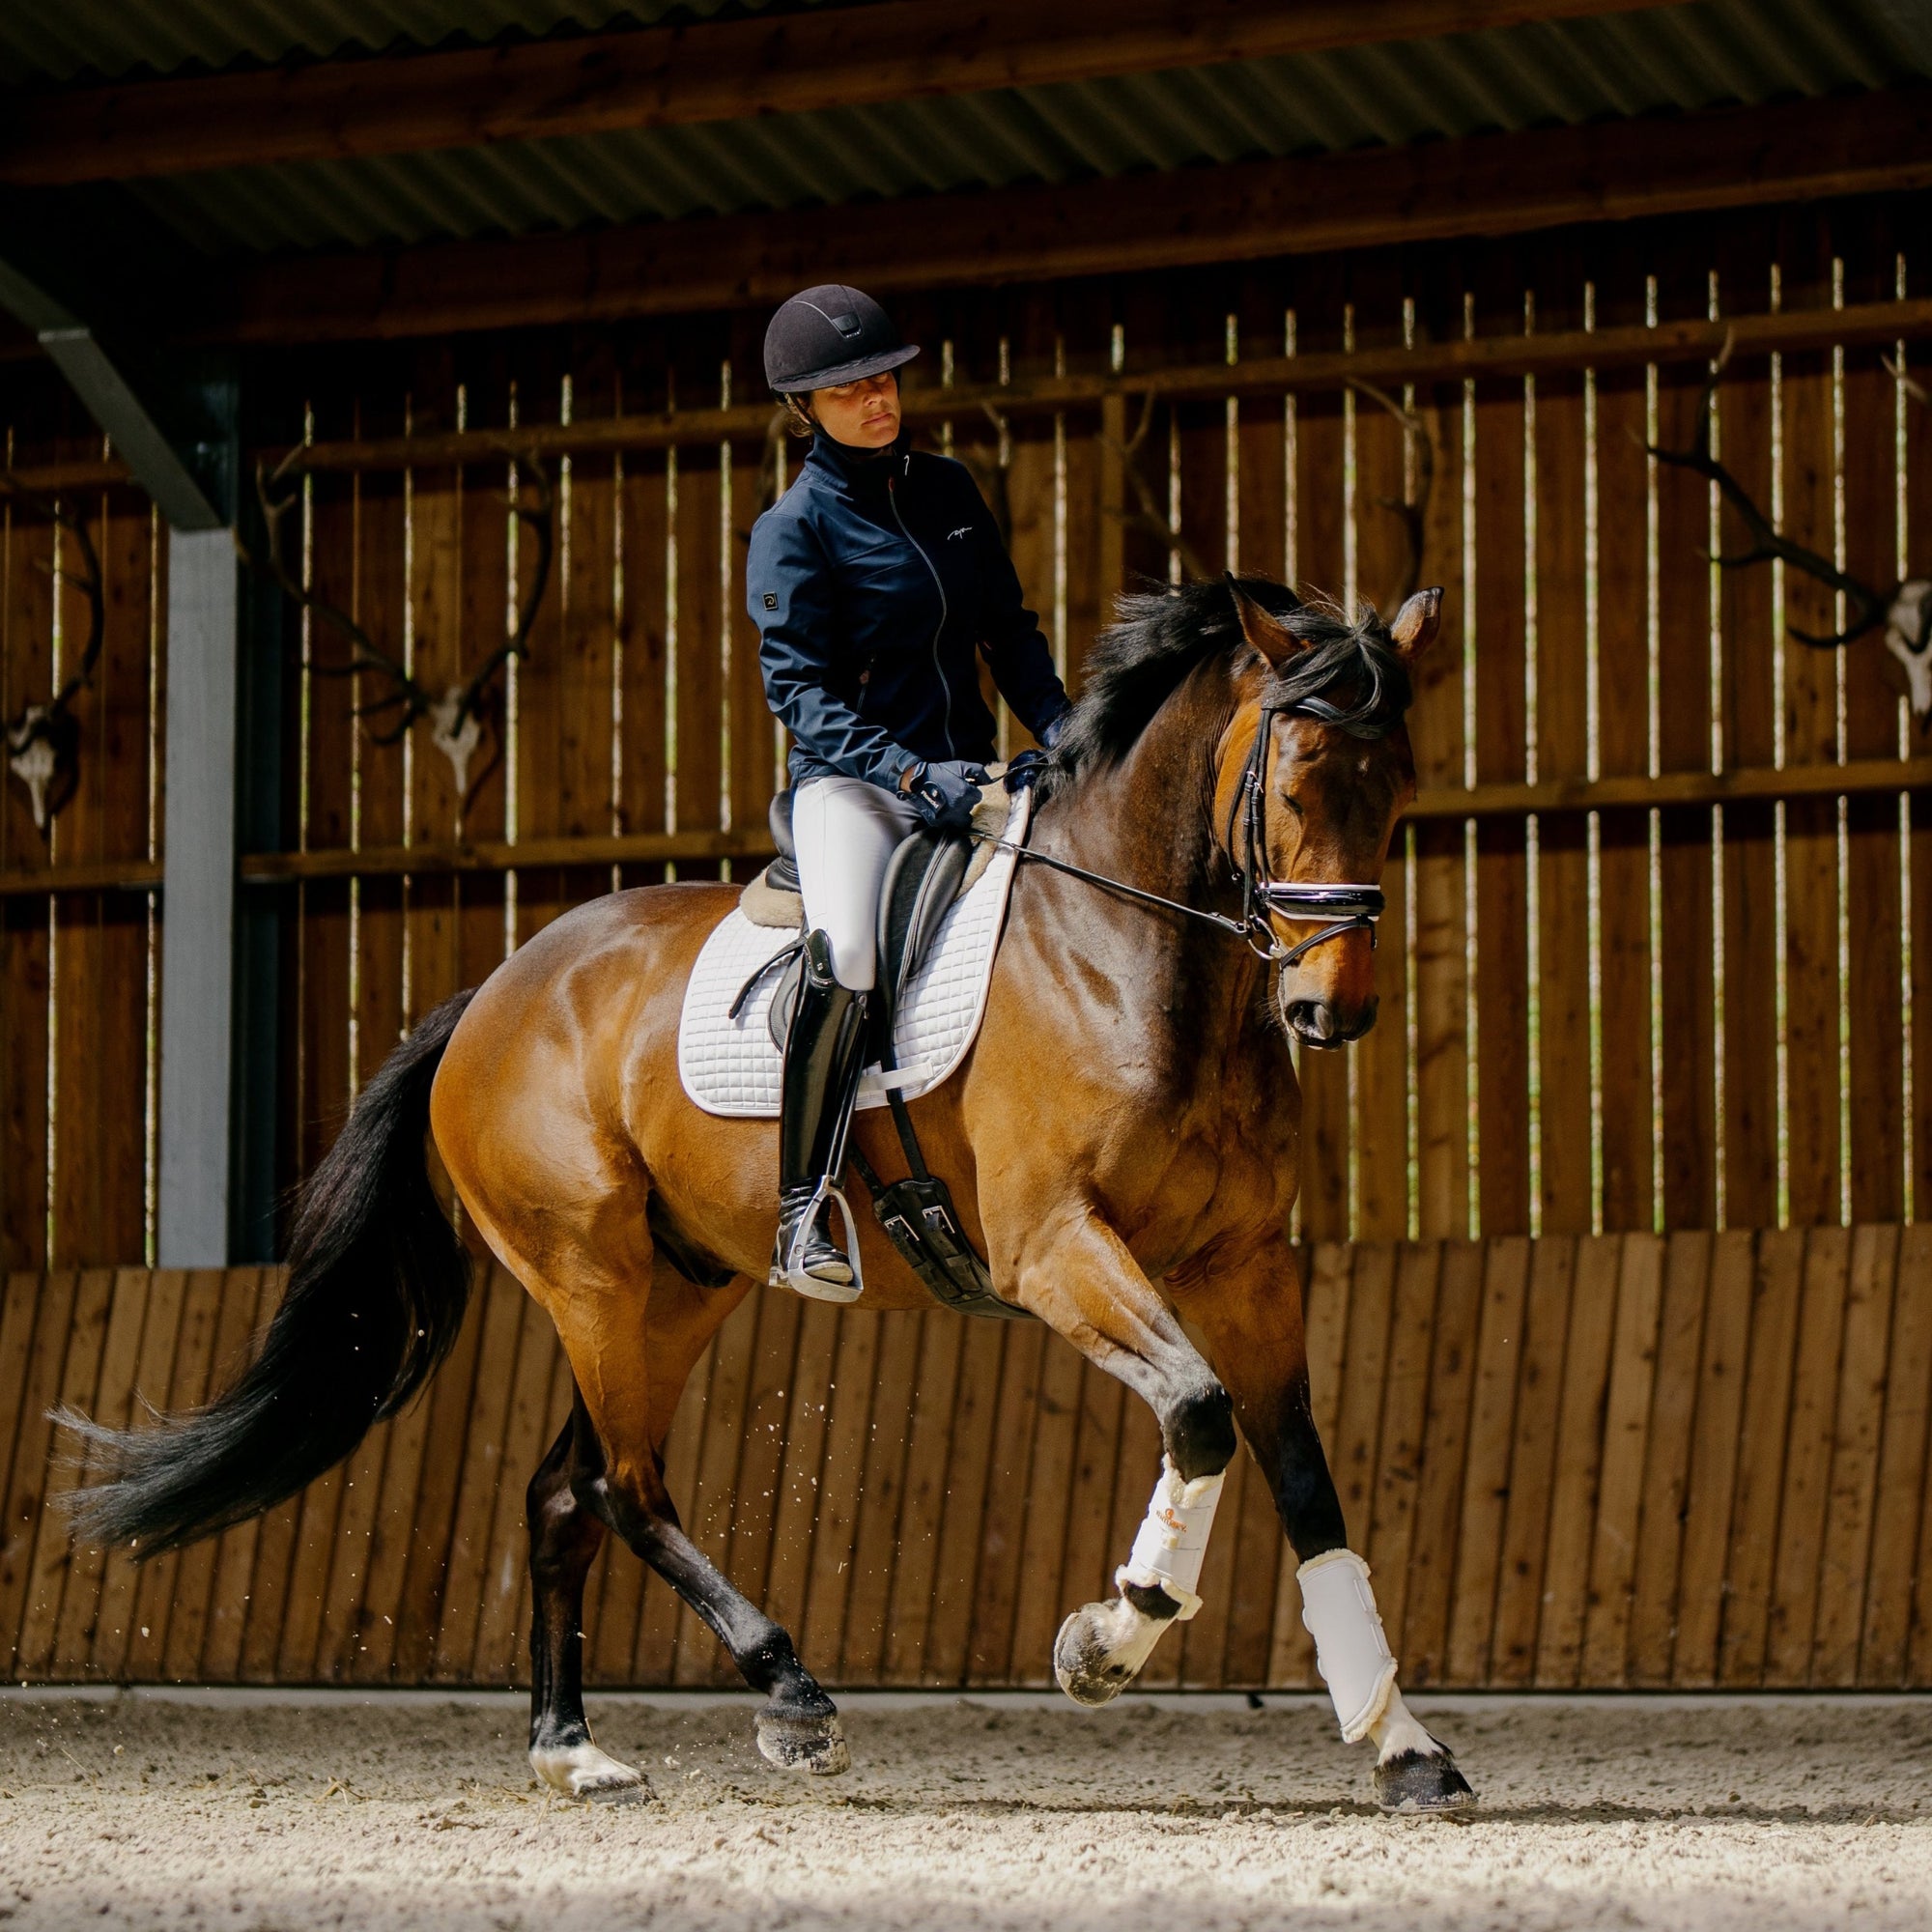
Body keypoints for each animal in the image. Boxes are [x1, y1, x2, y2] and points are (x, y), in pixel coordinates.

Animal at [68, 568, 1468, 1808]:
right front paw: (1107, 1639)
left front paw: (1402, 1747)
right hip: (590, 1277)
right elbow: (1198, 1413)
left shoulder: (1243, 1263)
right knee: (626, 1490)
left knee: (565, 1493)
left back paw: (573, 1751)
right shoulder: (1055, 1247)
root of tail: (495, 992)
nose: (1331, 1011)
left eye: (1397, 783)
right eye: (1293, 782)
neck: (1129, 957)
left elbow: (1301, 1477)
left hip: (675, 1293)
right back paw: (790, 1692)